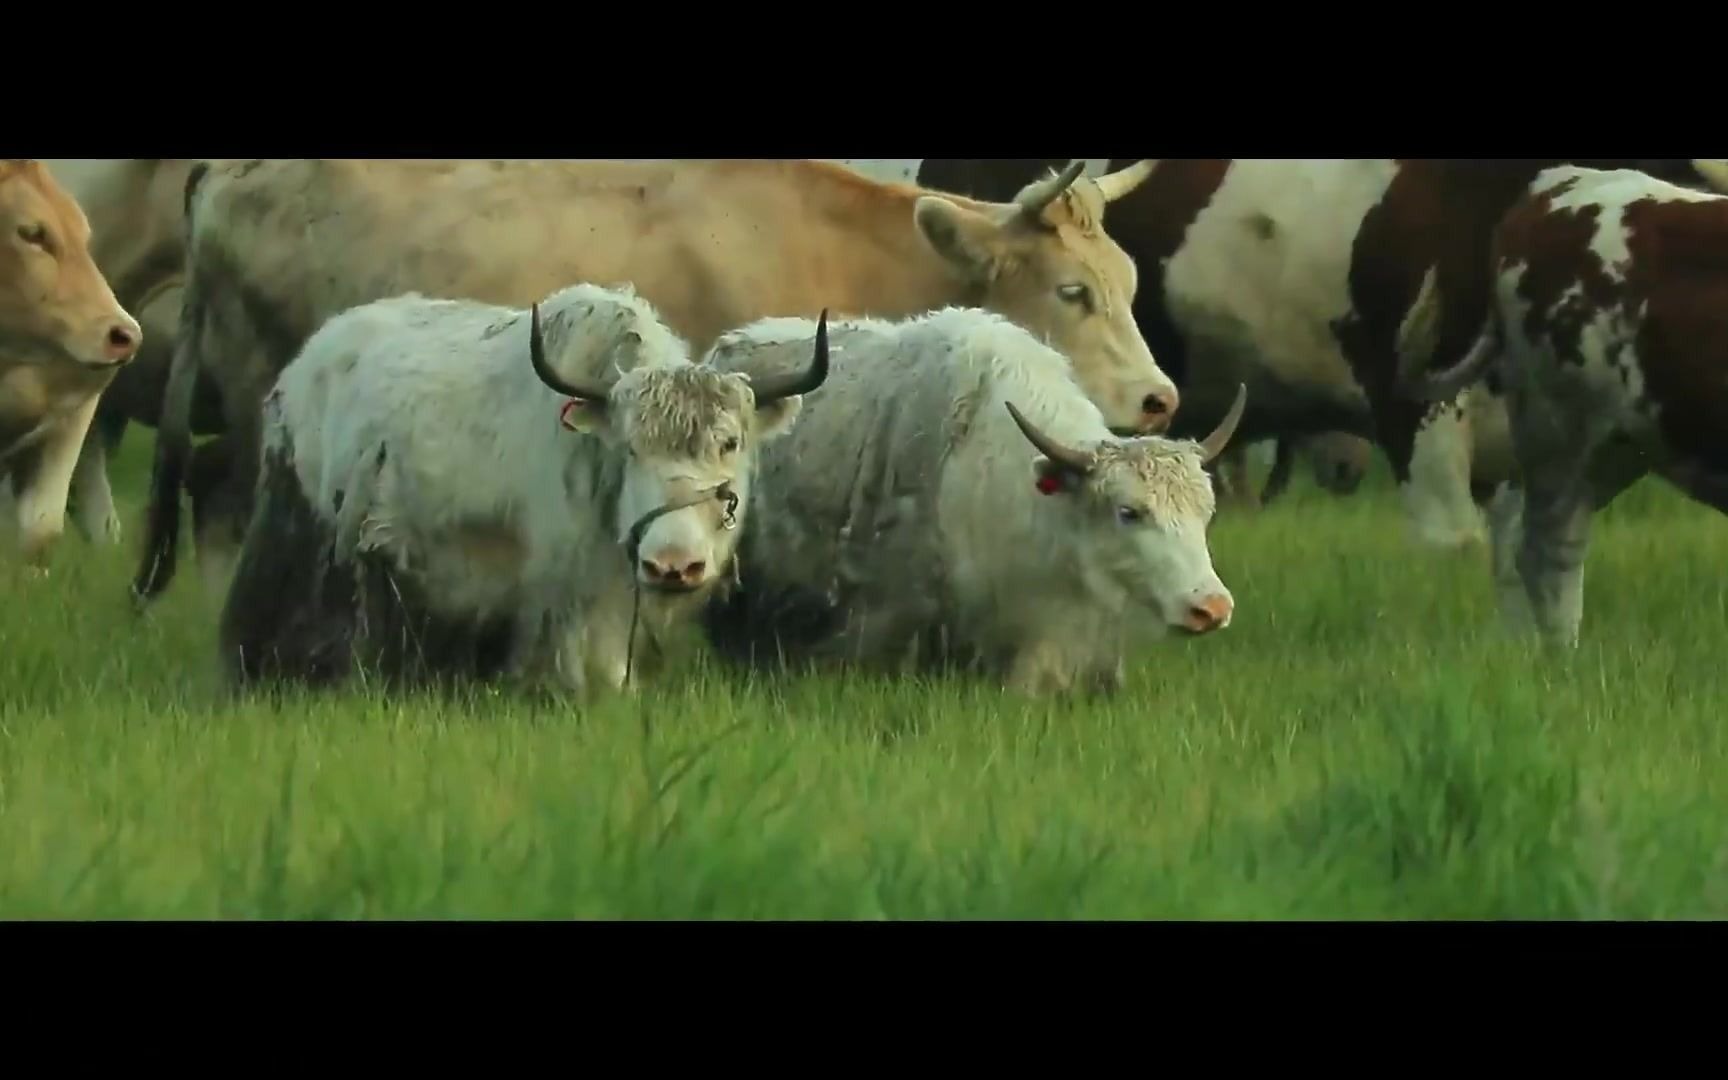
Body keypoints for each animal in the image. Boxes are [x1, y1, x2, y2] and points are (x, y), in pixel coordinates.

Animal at [141, 154, 1181, 608]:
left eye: (1131, 282)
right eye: (1073, 290)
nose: (1159, 398)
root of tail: (228, 171)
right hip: (256, 402)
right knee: (222, 502)